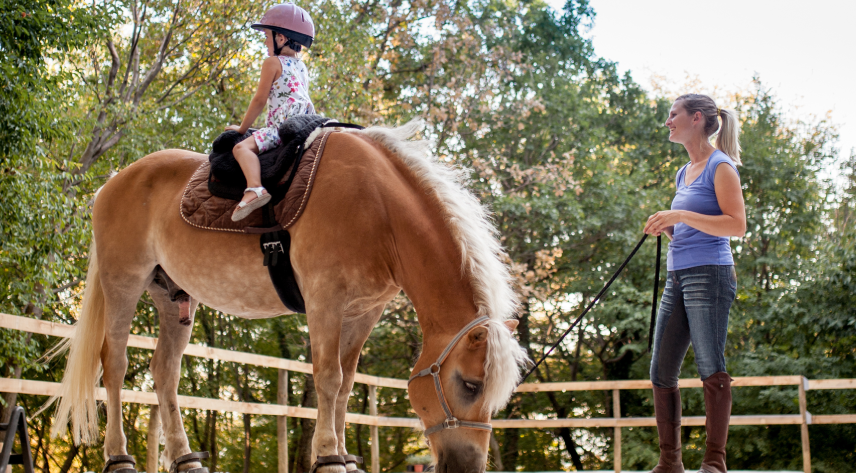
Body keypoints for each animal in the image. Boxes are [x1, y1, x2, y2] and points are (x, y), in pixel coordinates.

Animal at [48, 121, 528, 472]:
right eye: (470, 384)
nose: (469, 467)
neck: (380, 209)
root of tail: (111, 184)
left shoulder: (364, 313)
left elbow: (346, 385)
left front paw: (344, 456)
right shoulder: (325, 301)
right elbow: (328, 378)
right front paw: (330, 457)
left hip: (174, 299)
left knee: (164, 371)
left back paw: (185, 458)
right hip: (123, 285)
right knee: (115, 364)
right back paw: (118, 455)